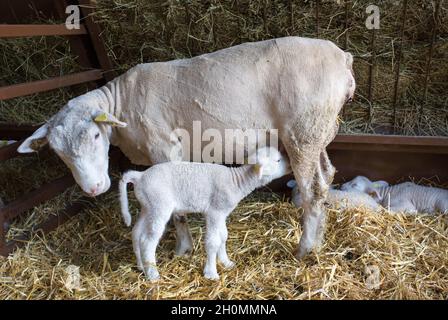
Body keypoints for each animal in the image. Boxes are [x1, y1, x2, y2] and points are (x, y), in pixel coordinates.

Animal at [119, 148, 290, 280]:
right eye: (278, 160)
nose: (290, 165)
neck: (237, 181)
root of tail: (140, 176)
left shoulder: (221, 213)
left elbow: (223, 236)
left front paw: (226, 262)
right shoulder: (214, 212)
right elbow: (213, 242)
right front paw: (211, 273)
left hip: (147, 206)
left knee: (136, 233)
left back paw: (141, 266)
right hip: (159, 206)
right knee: (147, 241)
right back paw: (152, 274)